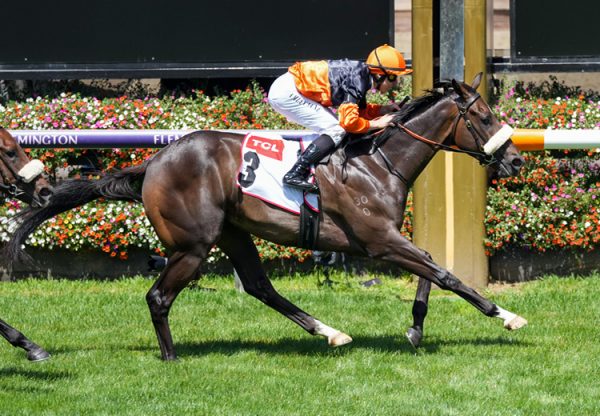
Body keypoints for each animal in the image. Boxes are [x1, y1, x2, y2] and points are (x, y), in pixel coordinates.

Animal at [7, 75, 528, 360]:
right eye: (483, 115)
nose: (517, 160)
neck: (377, 162)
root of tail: (152, 162)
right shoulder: (379, 240)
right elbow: (445, 274)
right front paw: (506, 316)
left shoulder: (383, 241)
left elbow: (433, 269)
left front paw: (416, 327)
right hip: (192, 246)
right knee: (159, 296)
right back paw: (171, 357)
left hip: (234, 234)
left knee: (260, 286)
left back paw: (330, 332)